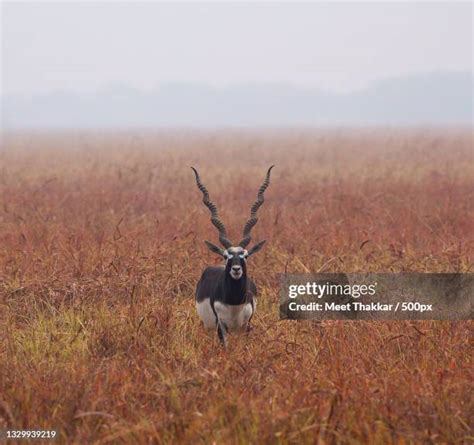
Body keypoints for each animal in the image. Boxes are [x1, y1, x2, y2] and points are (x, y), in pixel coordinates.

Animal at [192, 165, 274, 346]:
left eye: (245, 256)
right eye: (226, 256)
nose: (236, 269)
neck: (233, 302)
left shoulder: (246, 325)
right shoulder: (220, 326)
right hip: (207, 326)